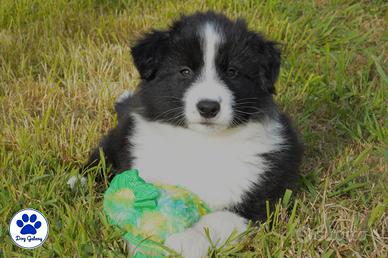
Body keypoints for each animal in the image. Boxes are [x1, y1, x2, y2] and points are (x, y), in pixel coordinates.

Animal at [85, 11, 304, 256]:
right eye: (185, 71)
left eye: (232, 72)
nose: (208, 107)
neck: (201, 142)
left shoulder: (257, 203)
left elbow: (217, 220)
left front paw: (184, 241)